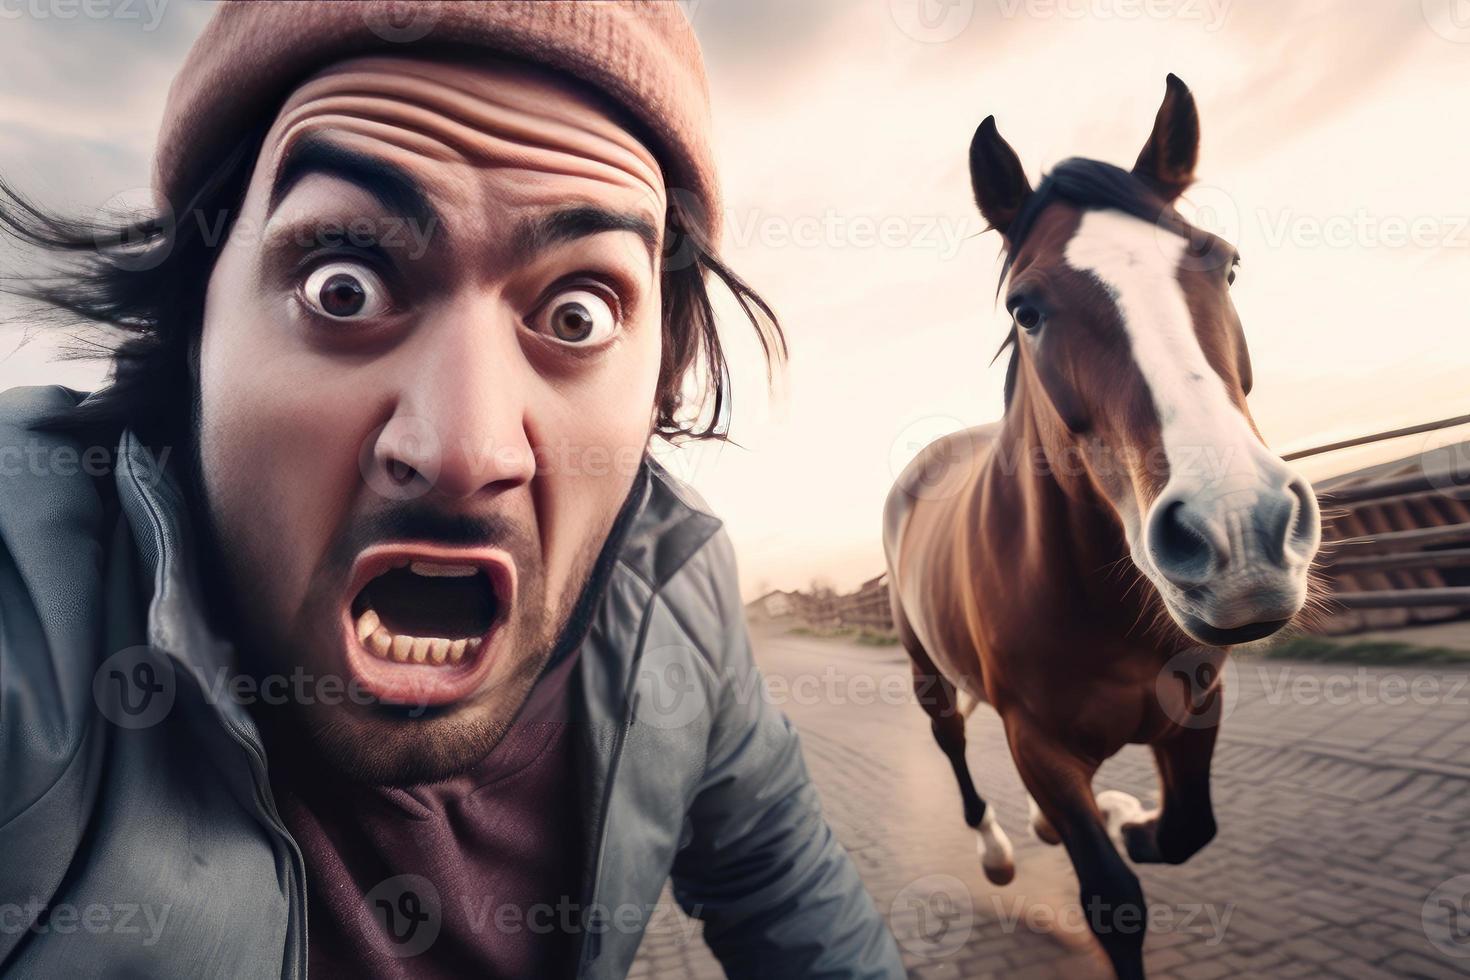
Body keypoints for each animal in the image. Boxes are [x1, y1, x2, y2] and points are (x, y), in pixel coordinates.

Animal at [882, 76, 1323, 980]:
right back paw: (996, 851)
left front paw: (1128, 814)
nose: (1239, 531)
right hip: (927, 674)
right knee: (953, 745)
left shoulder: (1196, 705)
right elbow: (1113, 899)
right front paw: (1111, 823)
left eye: (1225, 262)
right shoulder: (1039, 748)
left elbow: (1187, 830)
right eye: (1026, 309)